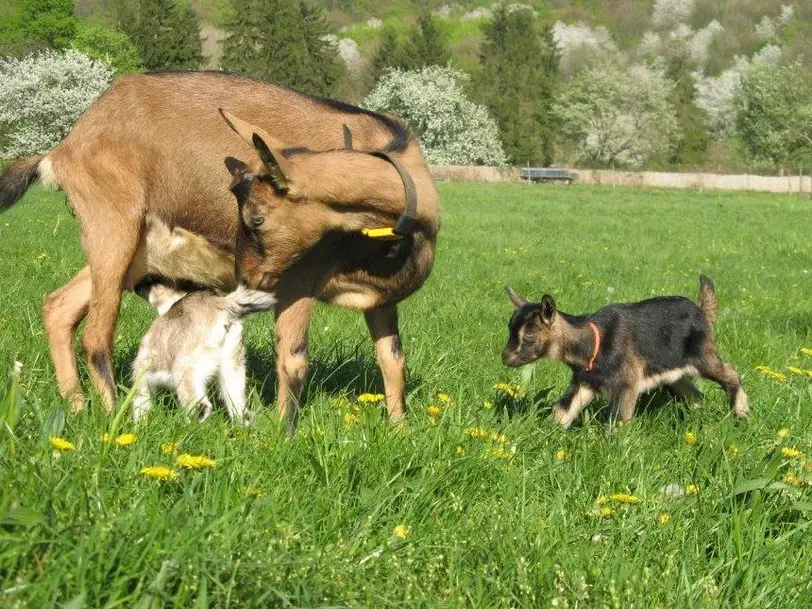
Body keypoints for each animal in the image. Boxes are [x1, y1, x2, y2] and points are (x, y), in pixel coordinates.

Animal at [0, 71, 440, 426]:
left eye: (256, 218)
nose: (245, 279)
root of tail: (64, 149)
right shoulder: (298, 281)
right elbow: (294, 358)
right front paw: (283, 435)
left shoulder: (381, 300)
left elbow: (392, 359)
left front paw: (399, 430)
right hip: (112, 225)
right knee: (96, 334)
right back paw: (114, 421)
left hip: (134, 254)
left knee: (59, 306)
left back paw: (76, 408)